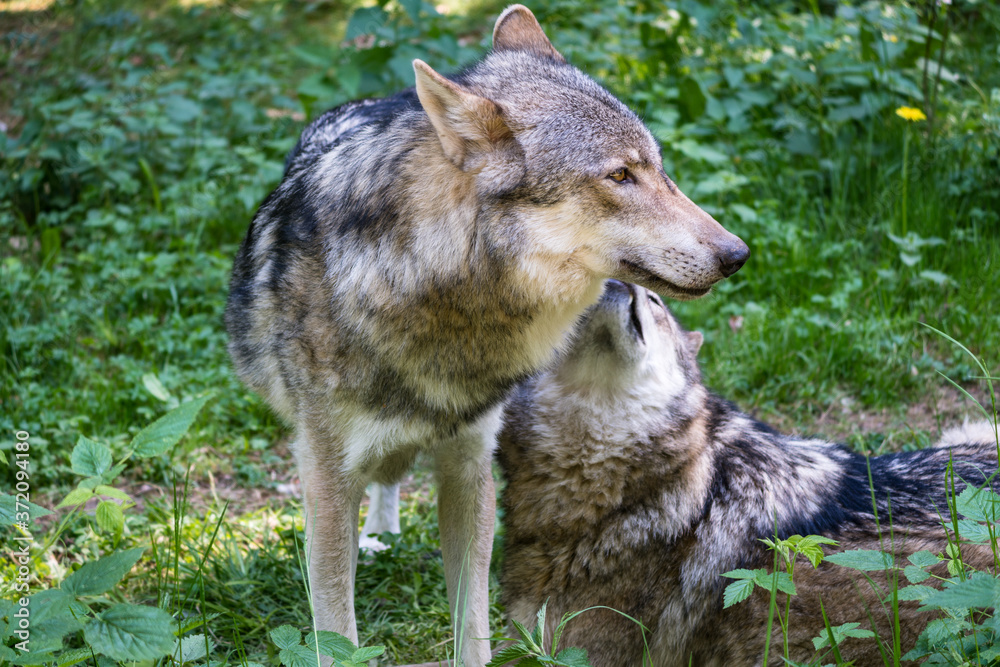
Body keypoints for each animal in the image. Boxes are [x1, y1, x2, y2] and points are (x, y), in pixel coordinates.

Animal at [225, 5, 748, 663]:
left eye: (657, 168)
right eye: (620, 175)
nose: (738, 254)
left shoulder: (471, 465)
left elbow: (471, 622)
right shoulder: (325, 478)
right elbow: (336, 628)